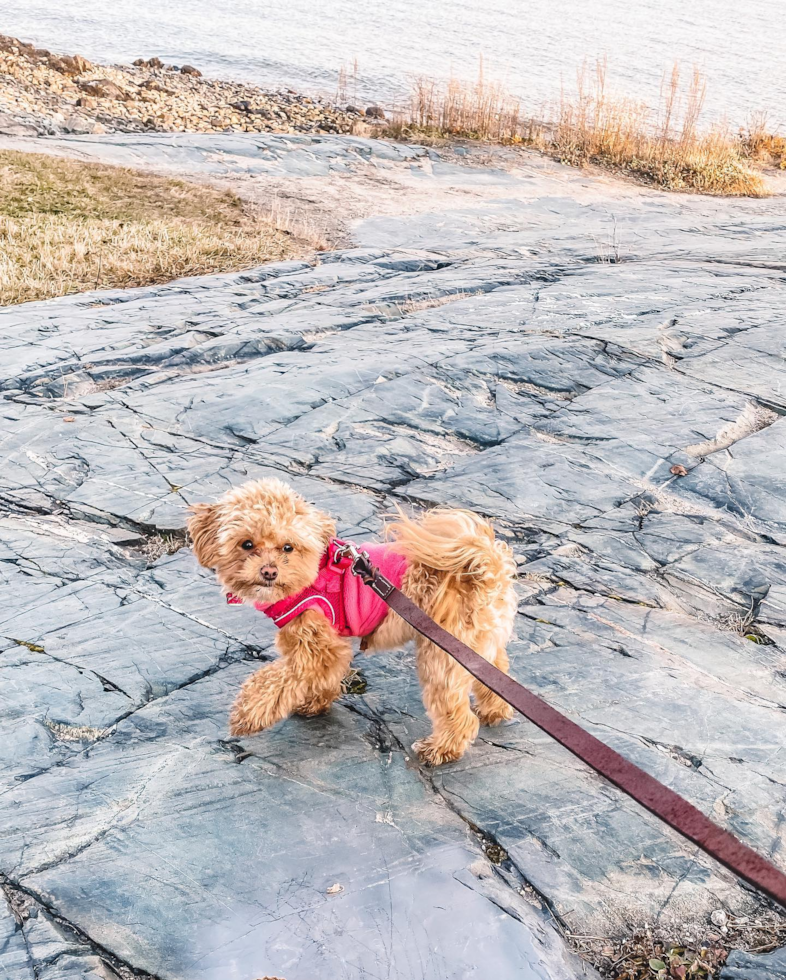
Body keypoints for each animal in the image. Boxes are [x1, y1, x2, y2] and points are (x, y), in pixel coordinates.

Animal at [188, 478, 516, 768]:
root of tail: (485, 565)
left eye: (288, 547)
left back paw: (441, 749)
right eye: (246, 544)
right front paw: (315, 702)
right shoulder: (329, 645)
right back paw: (495, 709)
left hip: (443, 654)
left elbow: (276, 679)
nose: (269, 572)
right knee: (496, 672)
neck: (311, 575)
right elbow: (322, 677)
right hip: (476, 644)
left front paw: (247, 715)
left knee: (456, 710)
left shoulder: (317, 646)